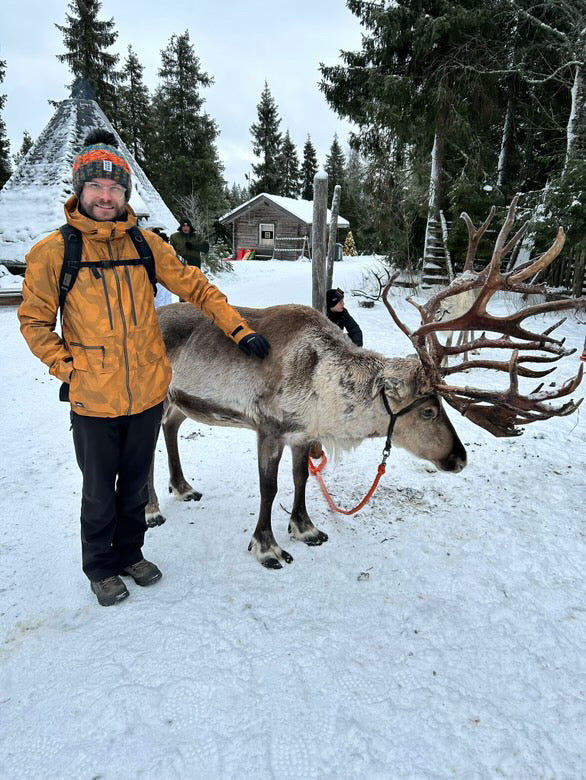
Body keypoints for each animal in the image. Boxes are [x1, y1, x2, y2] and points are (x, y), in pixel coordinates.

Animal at [146, 198, 584, 568]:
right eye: (429, 410)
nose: (460, 459)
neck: (321, 385)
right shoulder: (268, 428)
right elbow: (268, 488)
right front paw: (267, 547)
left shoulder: (304, 433)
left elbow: (301, 478)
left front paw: (306, 529)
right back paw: (152, 510)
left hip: (179, 401)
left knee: (171, 427)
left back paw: (182, 487)